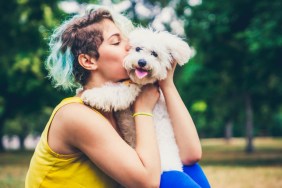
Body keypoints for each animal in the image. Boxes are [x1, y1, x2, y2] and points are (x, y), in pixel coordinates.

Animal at [81, 27, 192, 173]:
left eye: (154, 54)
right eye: (138, 48)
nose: (142, 62)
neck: (140, 82)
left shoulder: (128, 91)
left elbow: (113, 91)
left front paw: (90, 95)